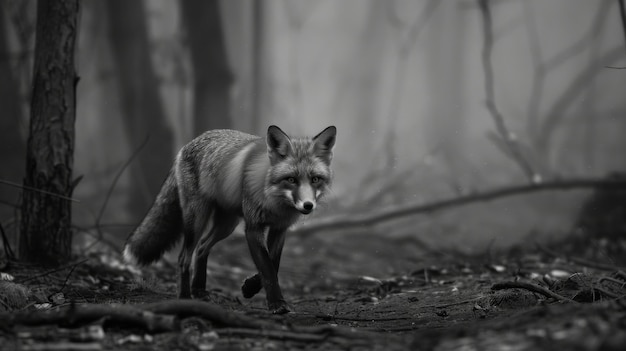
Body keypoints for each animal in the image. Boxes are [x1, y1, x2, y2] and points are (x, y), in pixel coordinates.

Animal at [123, 125, 336, 314]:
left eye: (315, 179)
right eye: (291, 179)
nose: (308, 205)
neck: (275, 201)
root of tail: (187, 145)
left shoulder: (280, 228)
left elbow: (273, 264)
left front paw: (250, 287)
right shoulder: (253, 228)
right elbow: (267, 268)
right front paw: (277, 304)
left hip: (226, 225)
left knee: (201, 248)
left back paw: (199, 290)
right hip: (198, 219)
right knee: (184, 257)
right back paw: (185, 297)